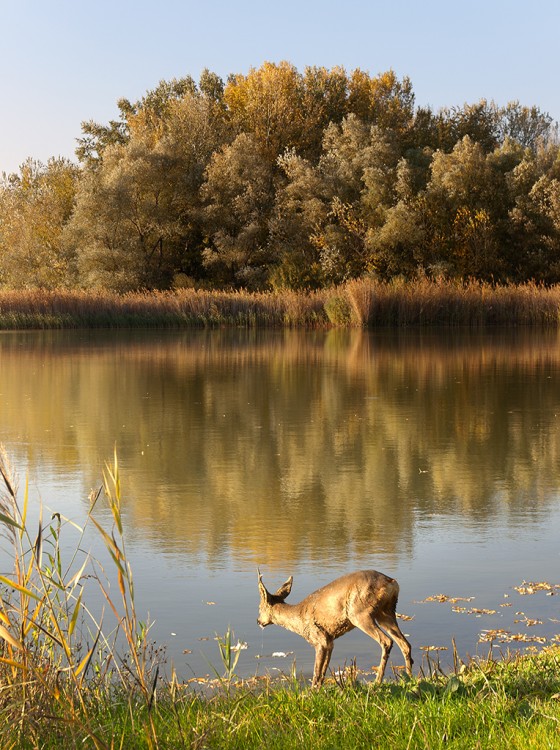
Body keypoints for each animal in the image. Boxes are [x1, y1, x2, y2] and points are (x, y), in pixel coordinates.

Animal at [258, 568, 412, 688]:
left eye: (259, 608)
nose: (258, 621)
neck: (299, 618)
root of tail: (391, 582)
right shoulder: (329, 640)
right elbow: (323, 671)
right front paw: (319, 690)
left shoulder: (319, 639)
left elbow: (316, 671)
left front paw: (311, 693)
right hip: (386, 612)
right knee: (405, 644)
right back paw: (409, 679)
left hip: (359, 613)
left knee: (386, 641)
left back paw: (377, 682)